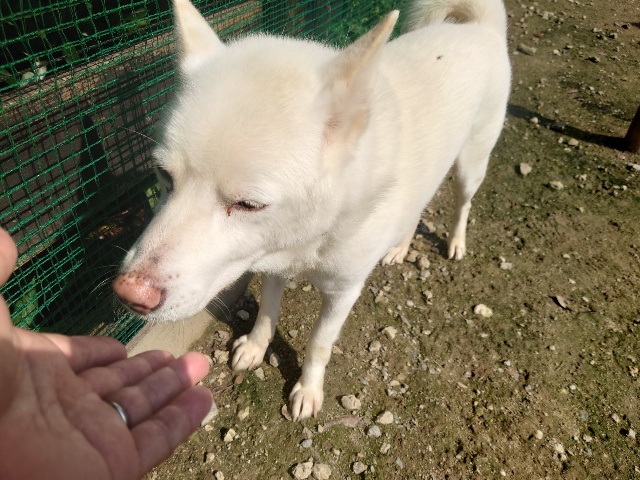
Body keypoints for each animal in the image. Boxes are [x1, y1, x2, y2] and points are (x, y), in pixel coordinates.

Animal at [113, 0, 510, 421]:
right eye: (164, 176)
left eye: (248, 204)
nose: (128, 294)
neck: (308, 240)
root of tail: (477, 30)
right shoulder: (272, 263)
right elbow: (267, 313)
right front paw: (255, 347)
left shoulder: (343, 291)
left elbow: (319, 343)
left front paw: (307, 388)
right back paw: (400, 246)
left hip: (471, 164)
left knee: (463, 202)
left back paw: (456, 241)